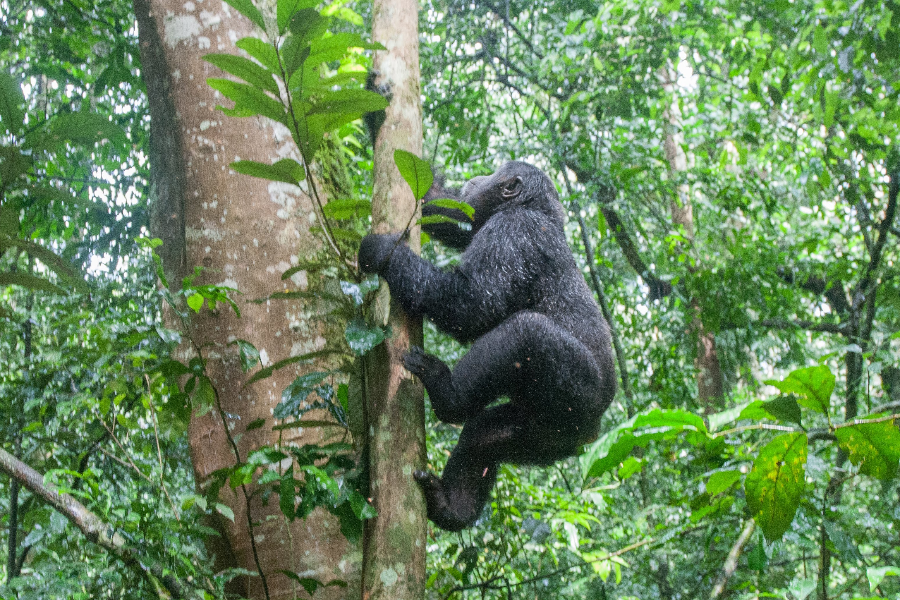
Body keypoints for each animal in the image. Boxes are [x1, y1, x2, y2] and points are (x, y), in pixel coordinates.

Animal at [356, 159, 616, 528]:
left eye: (496, 172)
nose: (477, 178)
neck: (535, 209)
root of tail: (591, 434)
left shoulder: (514, 232)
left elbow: (471, 301)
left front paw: (382, 252)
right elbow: (452, 216)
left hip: (578, 393)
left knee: (526, 333)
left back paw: (448, 393)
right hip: (542, 437)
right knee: (484, 437)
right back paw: (450, 506)